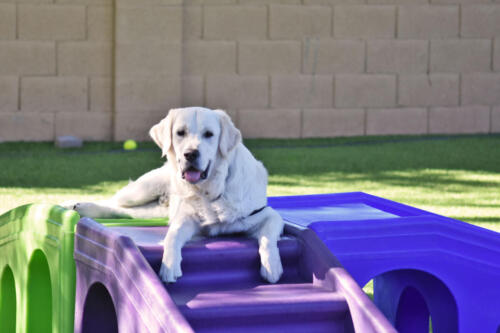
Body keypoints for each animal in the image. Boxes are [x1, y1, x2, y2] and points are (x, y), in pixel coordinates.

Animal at [69, 107, 286, 282]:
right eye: (180, 133)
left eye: (209, 134)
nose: (190, 154)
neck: (210, 190)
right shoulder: (186, 218)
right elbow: (172, 235)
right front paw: (169, 266)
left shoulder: (267, 214)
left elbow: (267, 237)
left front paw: (271, 266)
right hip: (140, 190)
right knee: (114, 201)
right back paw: (77, 205)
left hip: (151, 210)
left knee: (122, 210)